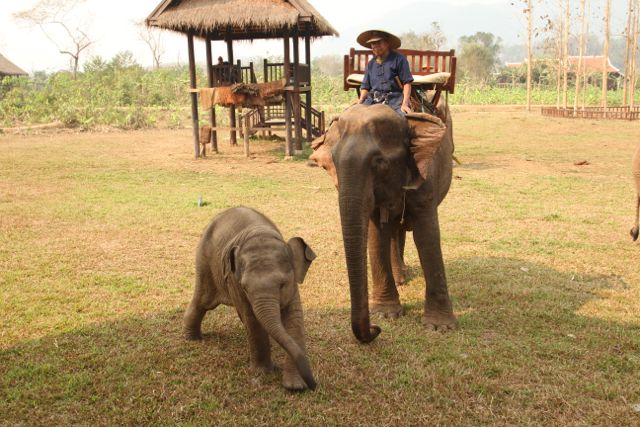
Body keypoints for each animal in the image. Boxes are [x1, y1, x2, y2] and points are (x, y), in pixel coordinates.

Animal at [184, 207, 316, 392]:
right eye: (245, 288)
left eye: (282, 284)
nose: (314, 385)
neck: (261, 234)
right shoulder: (235, 282)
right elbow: (252, 319)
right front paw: (263, 373)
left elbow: (294, 318)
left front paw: (295, 386)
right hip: (204, 261)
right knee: (202, 302)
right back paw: (192, 338)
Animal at [310, 101, 456, 344]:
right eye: (333, 162)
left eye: (379, 163)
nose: (375, 329)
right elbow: (376, 235)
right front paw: (386, 314)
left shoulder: (425, 177)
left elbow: (427, 237)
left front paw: (439, 327)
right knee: (394, 229)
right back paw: (400, 278)